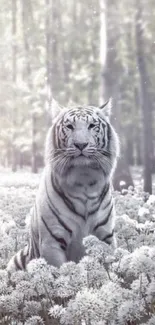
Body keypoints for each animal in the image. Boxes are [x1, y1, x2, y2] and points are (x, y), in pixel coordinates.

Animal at [7, 101, 119, 270]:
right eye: (70, 126)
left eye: (92, 126)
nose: (81, 144)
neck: (84, 179)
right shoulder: (52, 242)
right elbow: (58, 270)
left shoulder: (105, 237)